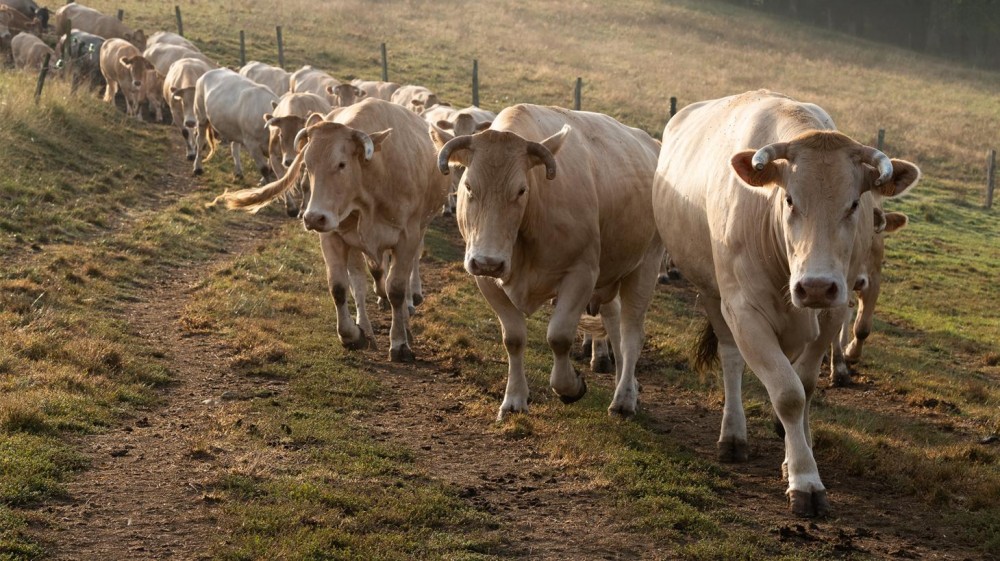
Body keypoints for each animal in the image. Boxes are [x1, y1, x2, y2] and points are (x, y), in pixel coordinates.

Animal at [222, 98, 454, 360]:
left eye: (341, 164)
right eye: (308, 164)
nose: (313, 218)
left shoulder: (407, 237)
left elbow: (396, 289)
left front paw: (399, 343)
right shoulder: (333, 236)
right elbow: (341, 288)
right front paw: (352, 335)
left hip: (418, 230)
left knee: (406, 274)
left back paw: (408, 309)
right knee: (361, 282)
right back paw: (366, 327)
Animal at [432, 104, 660, 420]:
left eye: (521, 190)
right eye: (468, 186)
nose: (489, 261)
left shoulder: (581, 274)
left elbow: (559, 336)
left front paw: (570, 387)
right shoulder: (485, 279)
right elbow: (514, 338)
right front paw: (514, 399)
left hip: (646, 265)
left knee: (630, 335)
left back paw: (625, 398)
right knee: (614, 324)